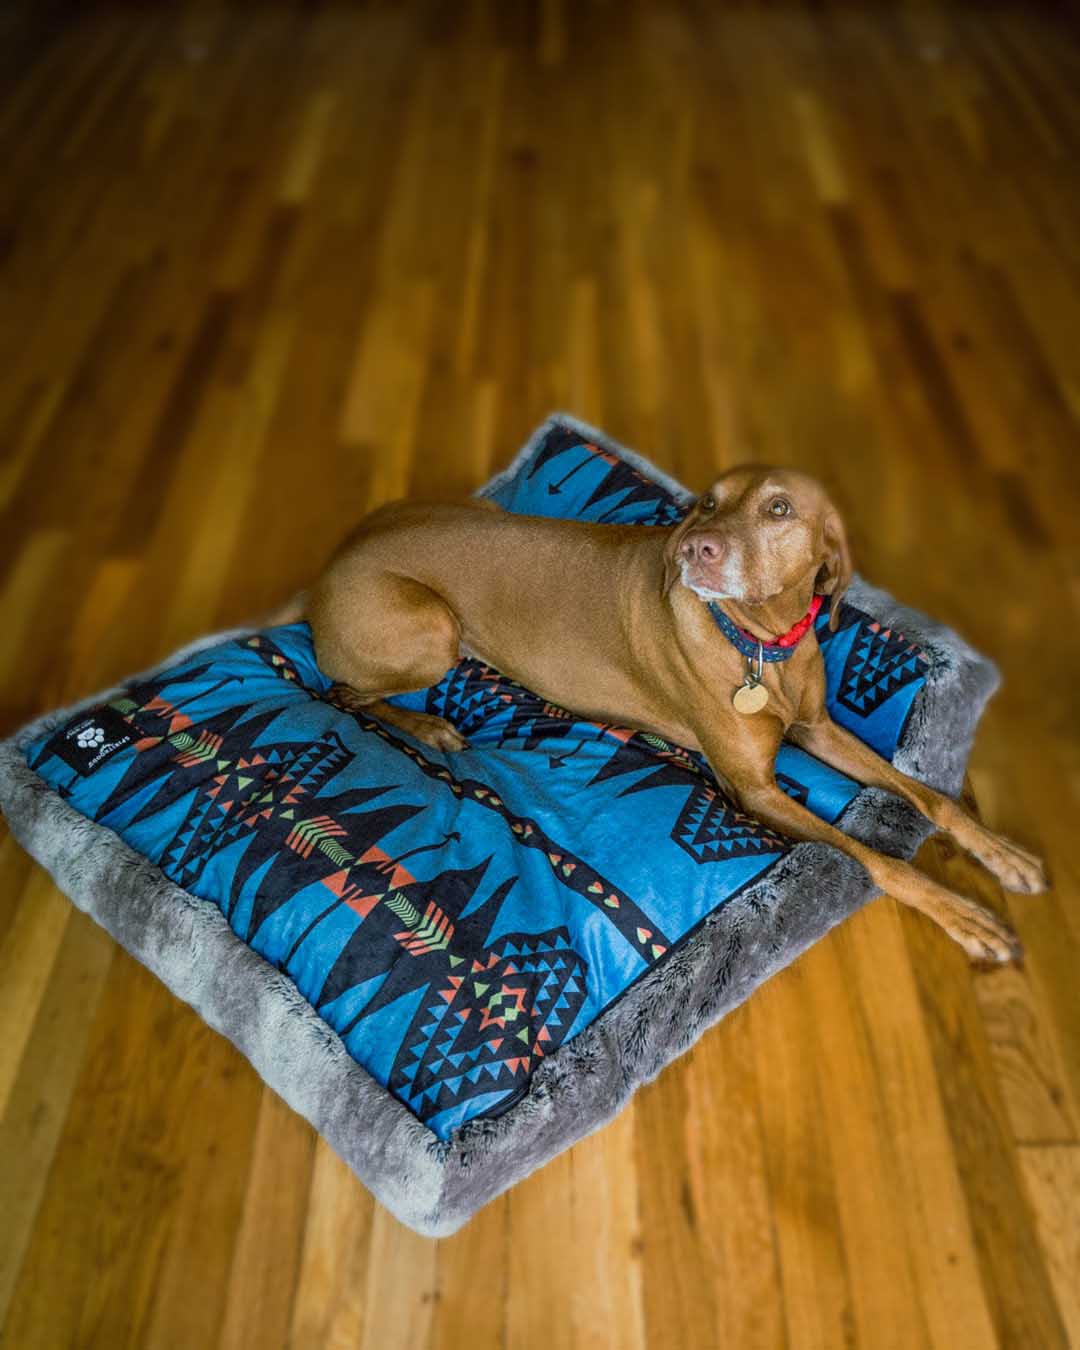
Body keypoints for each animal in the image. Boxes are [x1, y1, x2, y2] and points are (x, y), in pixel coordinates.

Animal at [270, 469, 1047, 966]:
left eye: (779, 509)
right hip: (432, 629)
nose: (699, 548)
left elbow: (925, 796)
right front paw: (959, 912)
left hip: (482, 521)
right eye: (707, 502)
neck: (761, 643)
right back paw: (430, 728)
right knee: (345, 694)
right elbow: (872, 856)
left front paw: (998, 851)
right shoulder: (753, 791)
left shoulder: (818, 728)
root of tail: (324, 572)